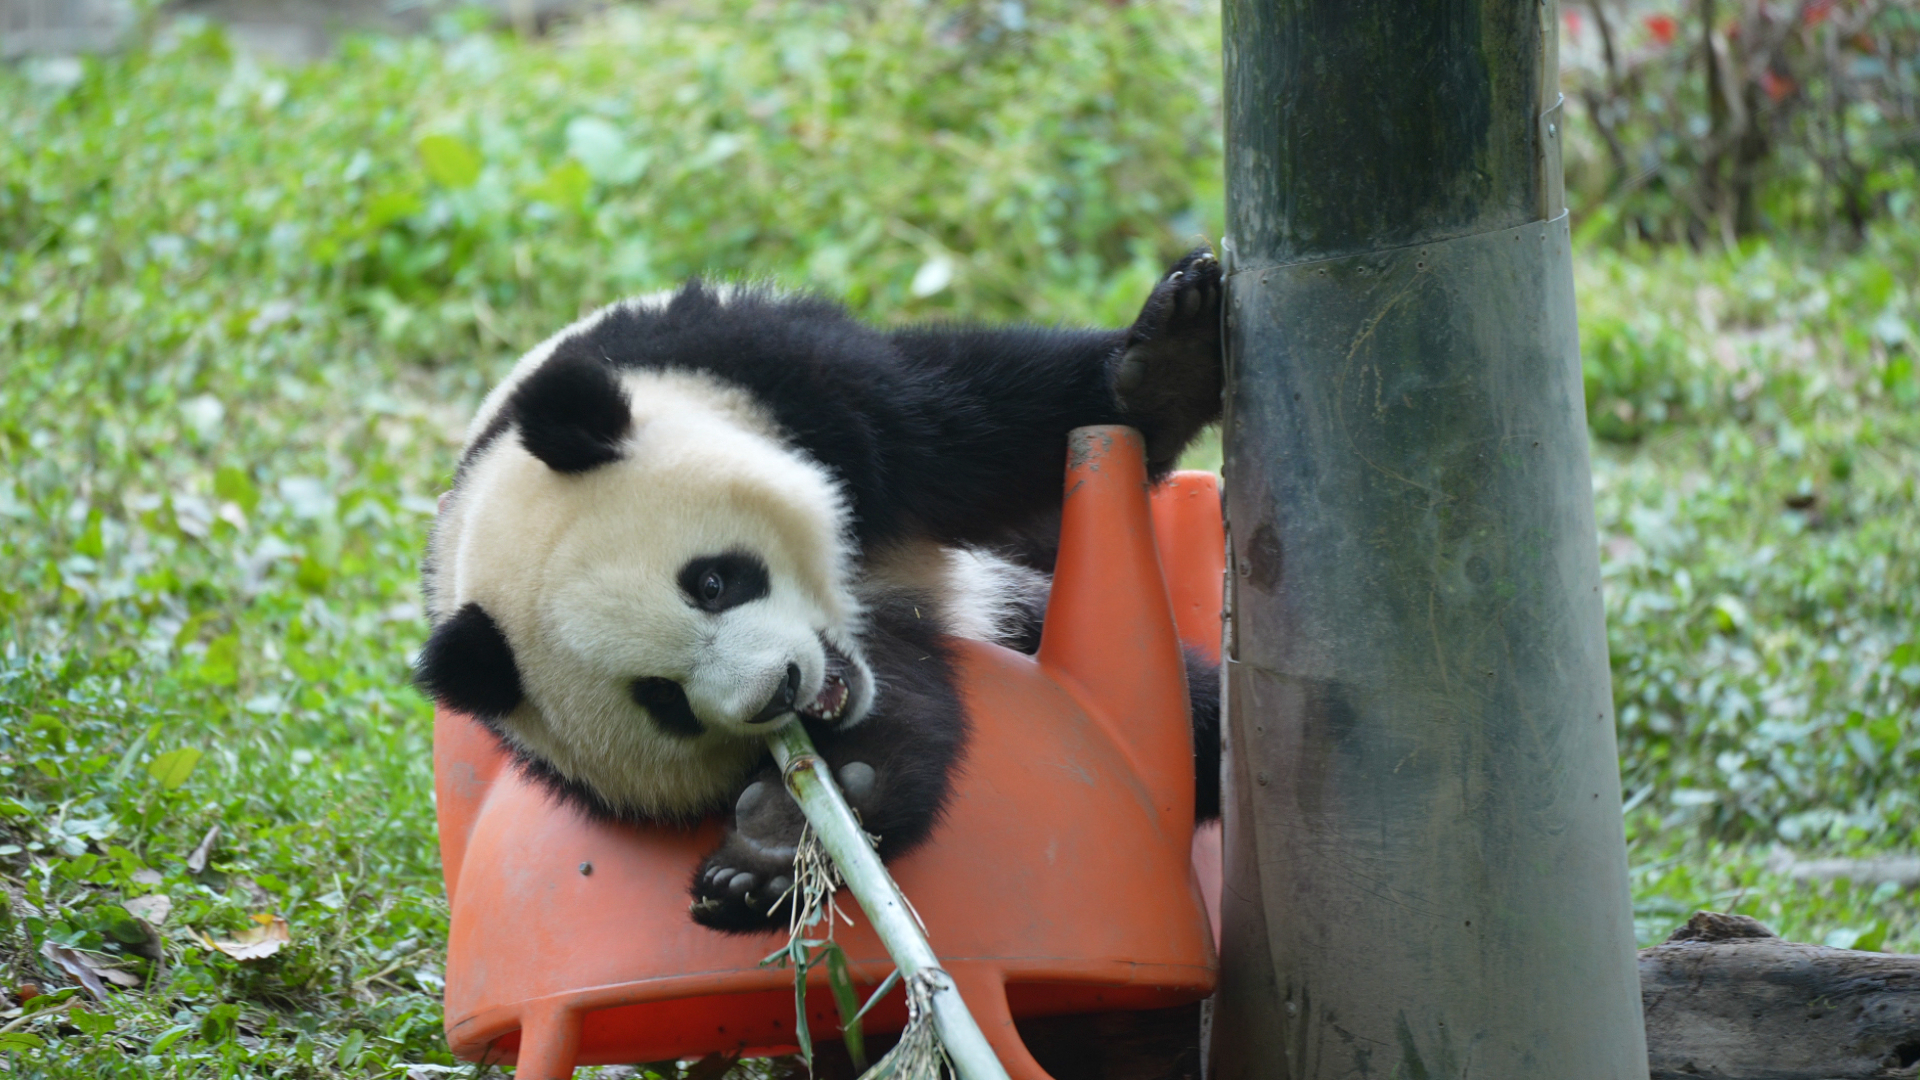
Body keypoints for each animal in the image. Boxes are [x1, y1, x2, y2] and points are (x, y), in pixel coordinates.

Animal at [416, 249, 1224, 932]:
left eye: (712, 582)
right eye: (663, 699)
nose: (778, 689)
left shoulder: (767, 379)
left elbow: (979, 423)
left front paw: (1165, 363)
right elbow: (902, 725)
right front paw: (766, 854)